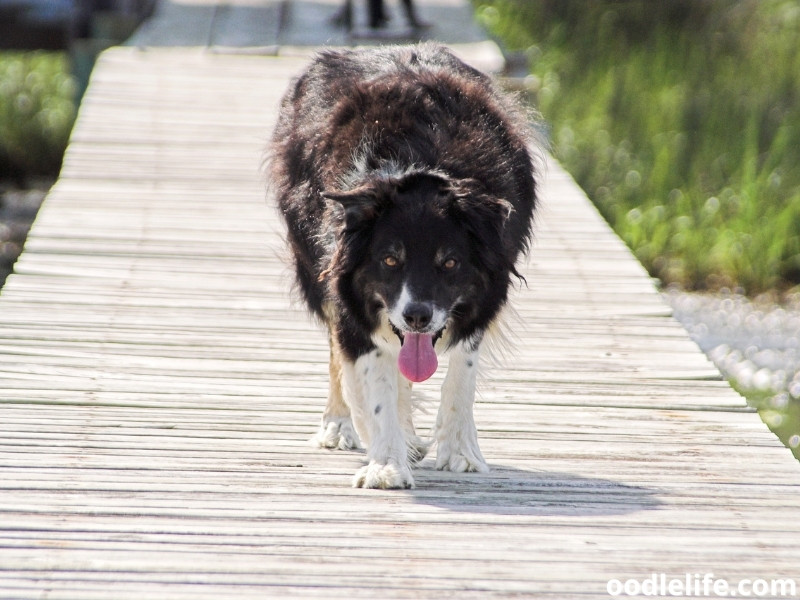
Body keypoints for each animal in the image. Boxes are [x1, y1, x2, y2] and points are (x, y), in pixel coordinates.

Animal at [268, 43, 536, 488]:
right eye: (390, 259)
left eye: (450, 263)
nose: (417, 316)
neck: (419, 171)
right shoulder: (347, 294)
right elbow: (372, 386)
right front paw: (386, 463)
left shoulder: (483, 295)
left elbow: (460, 375)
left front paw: (460, 452)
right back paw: (339, 425)